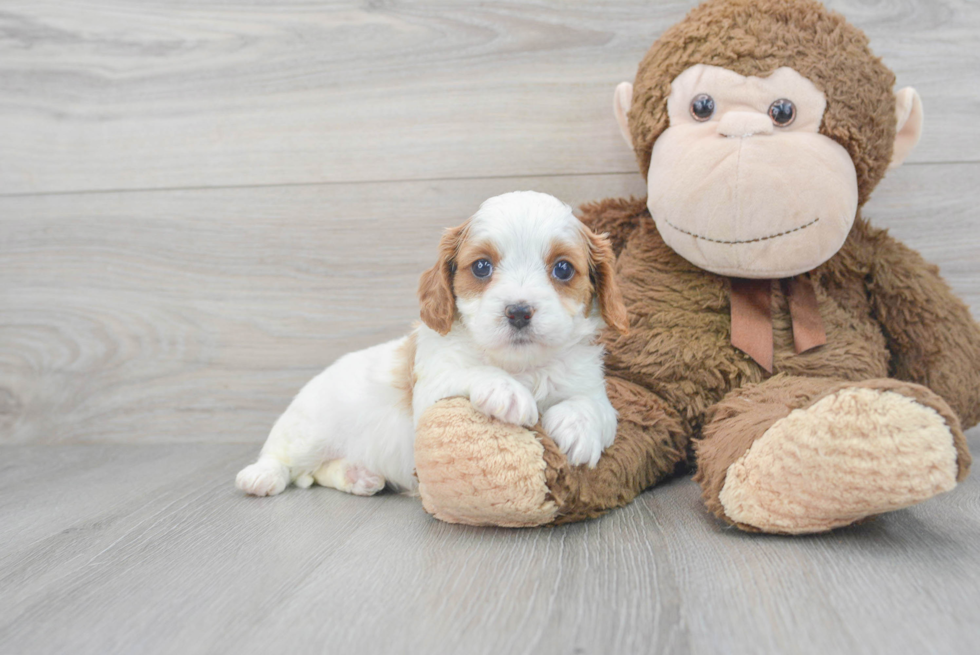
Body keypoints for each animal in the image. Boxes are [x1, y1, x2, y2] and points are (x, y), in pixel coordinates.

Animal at [241, 190, 632, 498]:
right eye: (482, 267)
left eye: (563, 269)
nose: (519, 311)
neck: (519, 365)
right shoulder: (433, 386)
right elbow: (471, 371)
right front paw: (507, 392)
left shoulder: (591, 387)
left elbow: (595, 407)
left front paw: (577, 429)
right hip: (309, 431)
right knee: (284, 459)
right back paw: (260, 476)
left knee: (319, 471)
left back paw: (358, 476)